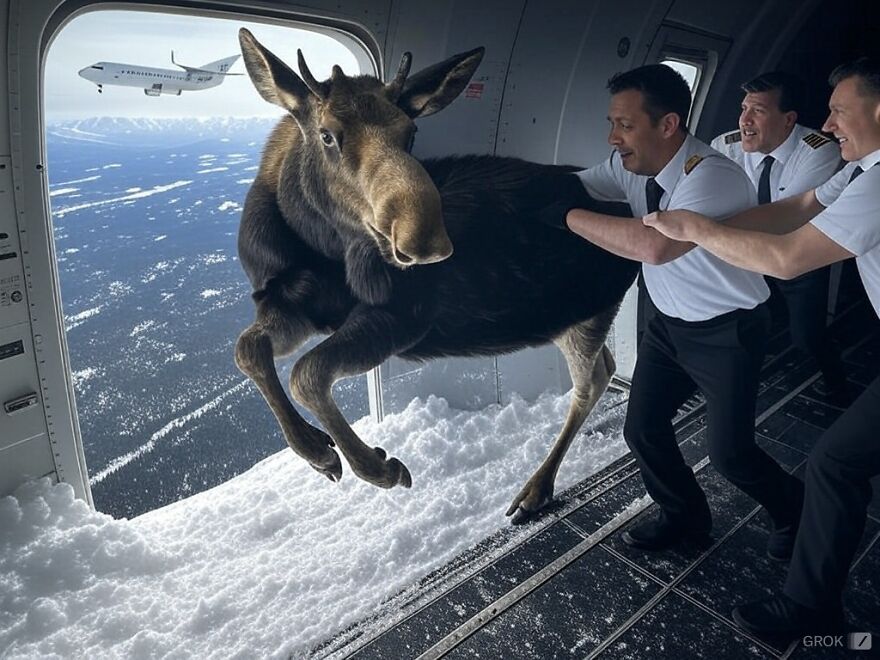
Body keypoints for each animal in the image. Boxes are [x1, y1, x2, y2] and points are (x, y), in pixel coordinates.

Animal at [233, 28, 639, 523]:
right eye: (327, 135)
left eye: (411, 132)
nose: (425, 238)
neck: (318, 245)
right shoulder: (285, 301)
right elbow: (249, 349)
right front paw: (316, 450)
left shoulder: (406, 315)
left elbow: (308, 372)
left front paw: (374, 465)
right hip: (570, 315)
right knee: (604, 369)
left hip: (588, 308)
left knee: (592, 380)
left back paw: (536, 487)